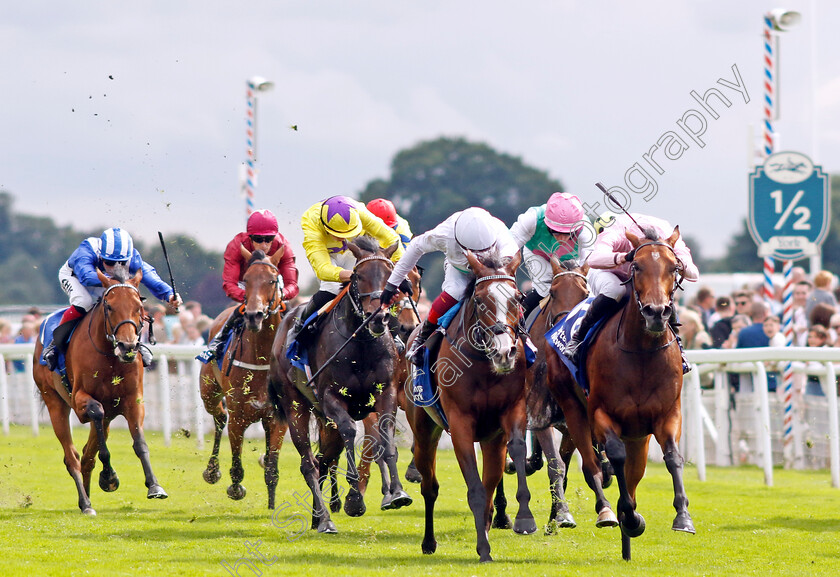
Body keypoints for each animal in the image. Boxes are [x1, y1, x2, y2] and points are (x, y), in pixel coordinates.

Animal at [33, 266, 167, 512]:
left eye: (139, 307)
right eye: (109, 306)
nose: (127, 346)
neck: (109, 356)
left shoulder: (132, 401)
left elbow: (140, 442)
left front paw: (154, 485)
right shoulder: (80, 401)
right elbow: (96, 413)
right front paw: (109, 477)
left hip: (107, 416)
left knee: (87, 455)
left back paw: (86, 497)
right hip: (54, 402)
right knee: (72, 456)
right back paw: (85, 503)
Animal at [200, 245, 288, 506]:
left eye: (272, 280)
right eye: (246, 280)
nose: (253, 315)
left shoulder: (278, 417)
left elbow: (272, 468)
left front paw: (271, 504)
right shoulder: (238, 416)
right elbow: (237, 465)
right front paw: (236, 488)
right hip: (209, 393)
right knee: (219, 417)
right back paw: (212, 470)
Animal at [404, 250, 536, 560]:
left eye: (518, 298)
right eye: (479, 300)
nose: (504, 352)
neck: (483, 365)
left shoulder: (510, 413)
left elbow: (514, 452)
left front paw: (522, 518)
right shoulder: (461, 423)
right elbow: (475, 488)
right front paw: (484, 547)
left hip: (490, 440)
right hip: (424, 429)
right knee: (429, 486)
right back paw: (428, 542)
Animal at [548, 227, 692, 560]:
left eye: (674, 268)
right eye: (635, 266)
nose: (656, 312)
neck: (641, 352)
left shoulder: (667, 414)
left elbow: (672, 457)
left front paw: (682, 516)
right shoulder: (602, 414)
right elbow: (613, 456)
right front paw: (627, 514)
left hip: (637, 434)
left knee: (634, 472)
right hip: (573, 410)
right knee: (590, 464)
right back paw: (604, 512)